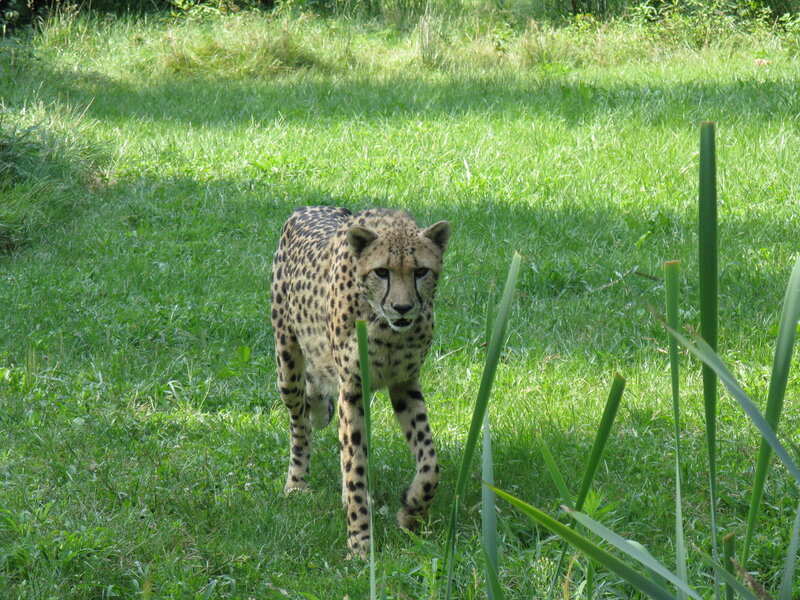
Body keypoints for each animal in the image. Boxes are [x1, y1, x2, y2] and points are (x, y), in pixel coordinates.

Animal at [270, 205, 450, 558]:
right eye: (382, 272)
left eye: (421, 271)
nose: (403, 307)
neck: (387, 328)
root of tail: (306, 207)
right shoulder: (351, 388)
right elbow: (353, 465)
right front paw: (360, 545)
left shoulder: (405, 383)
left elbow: (430, 462)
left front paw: (412, 511)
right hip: (288, 364)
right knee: (301, 422)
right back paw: (297, 483)